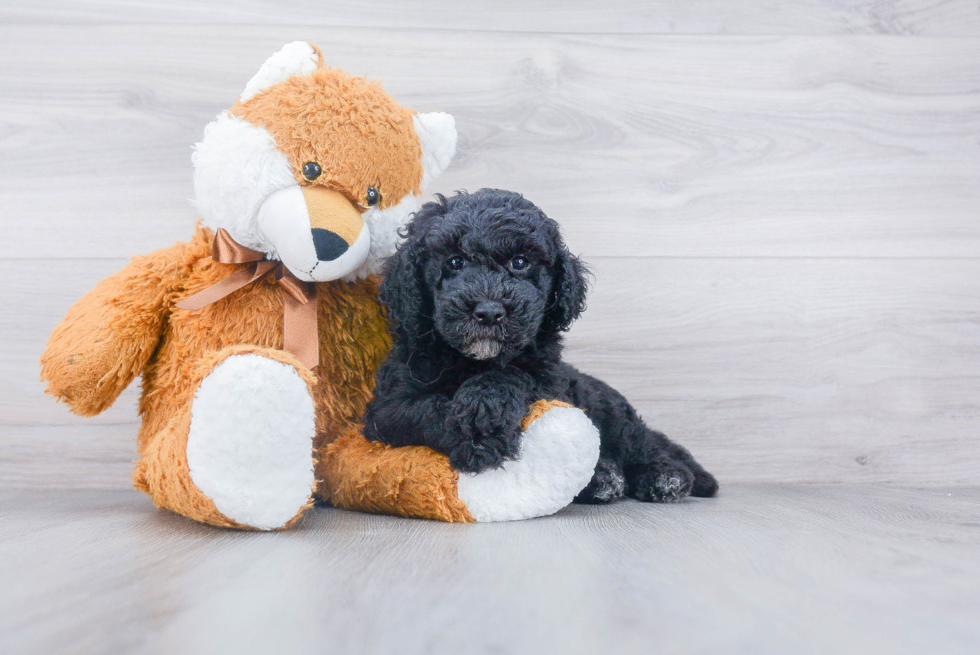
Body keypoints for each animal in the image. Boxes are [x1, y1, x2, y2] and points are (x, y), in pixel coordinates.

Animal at [364, 188, 716, 502]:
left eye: (520, 263)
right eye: (454, 262)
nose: (489, 311)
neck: (474, 361)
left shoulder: (549, 381)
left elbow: (514, 375)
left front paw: (485, 410)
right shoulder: (386, 409)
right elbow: (425, 408)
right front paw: (477, 438)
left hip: (612, 413)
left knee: (643, 445)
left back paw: (665, 476)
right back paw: (604, 477)